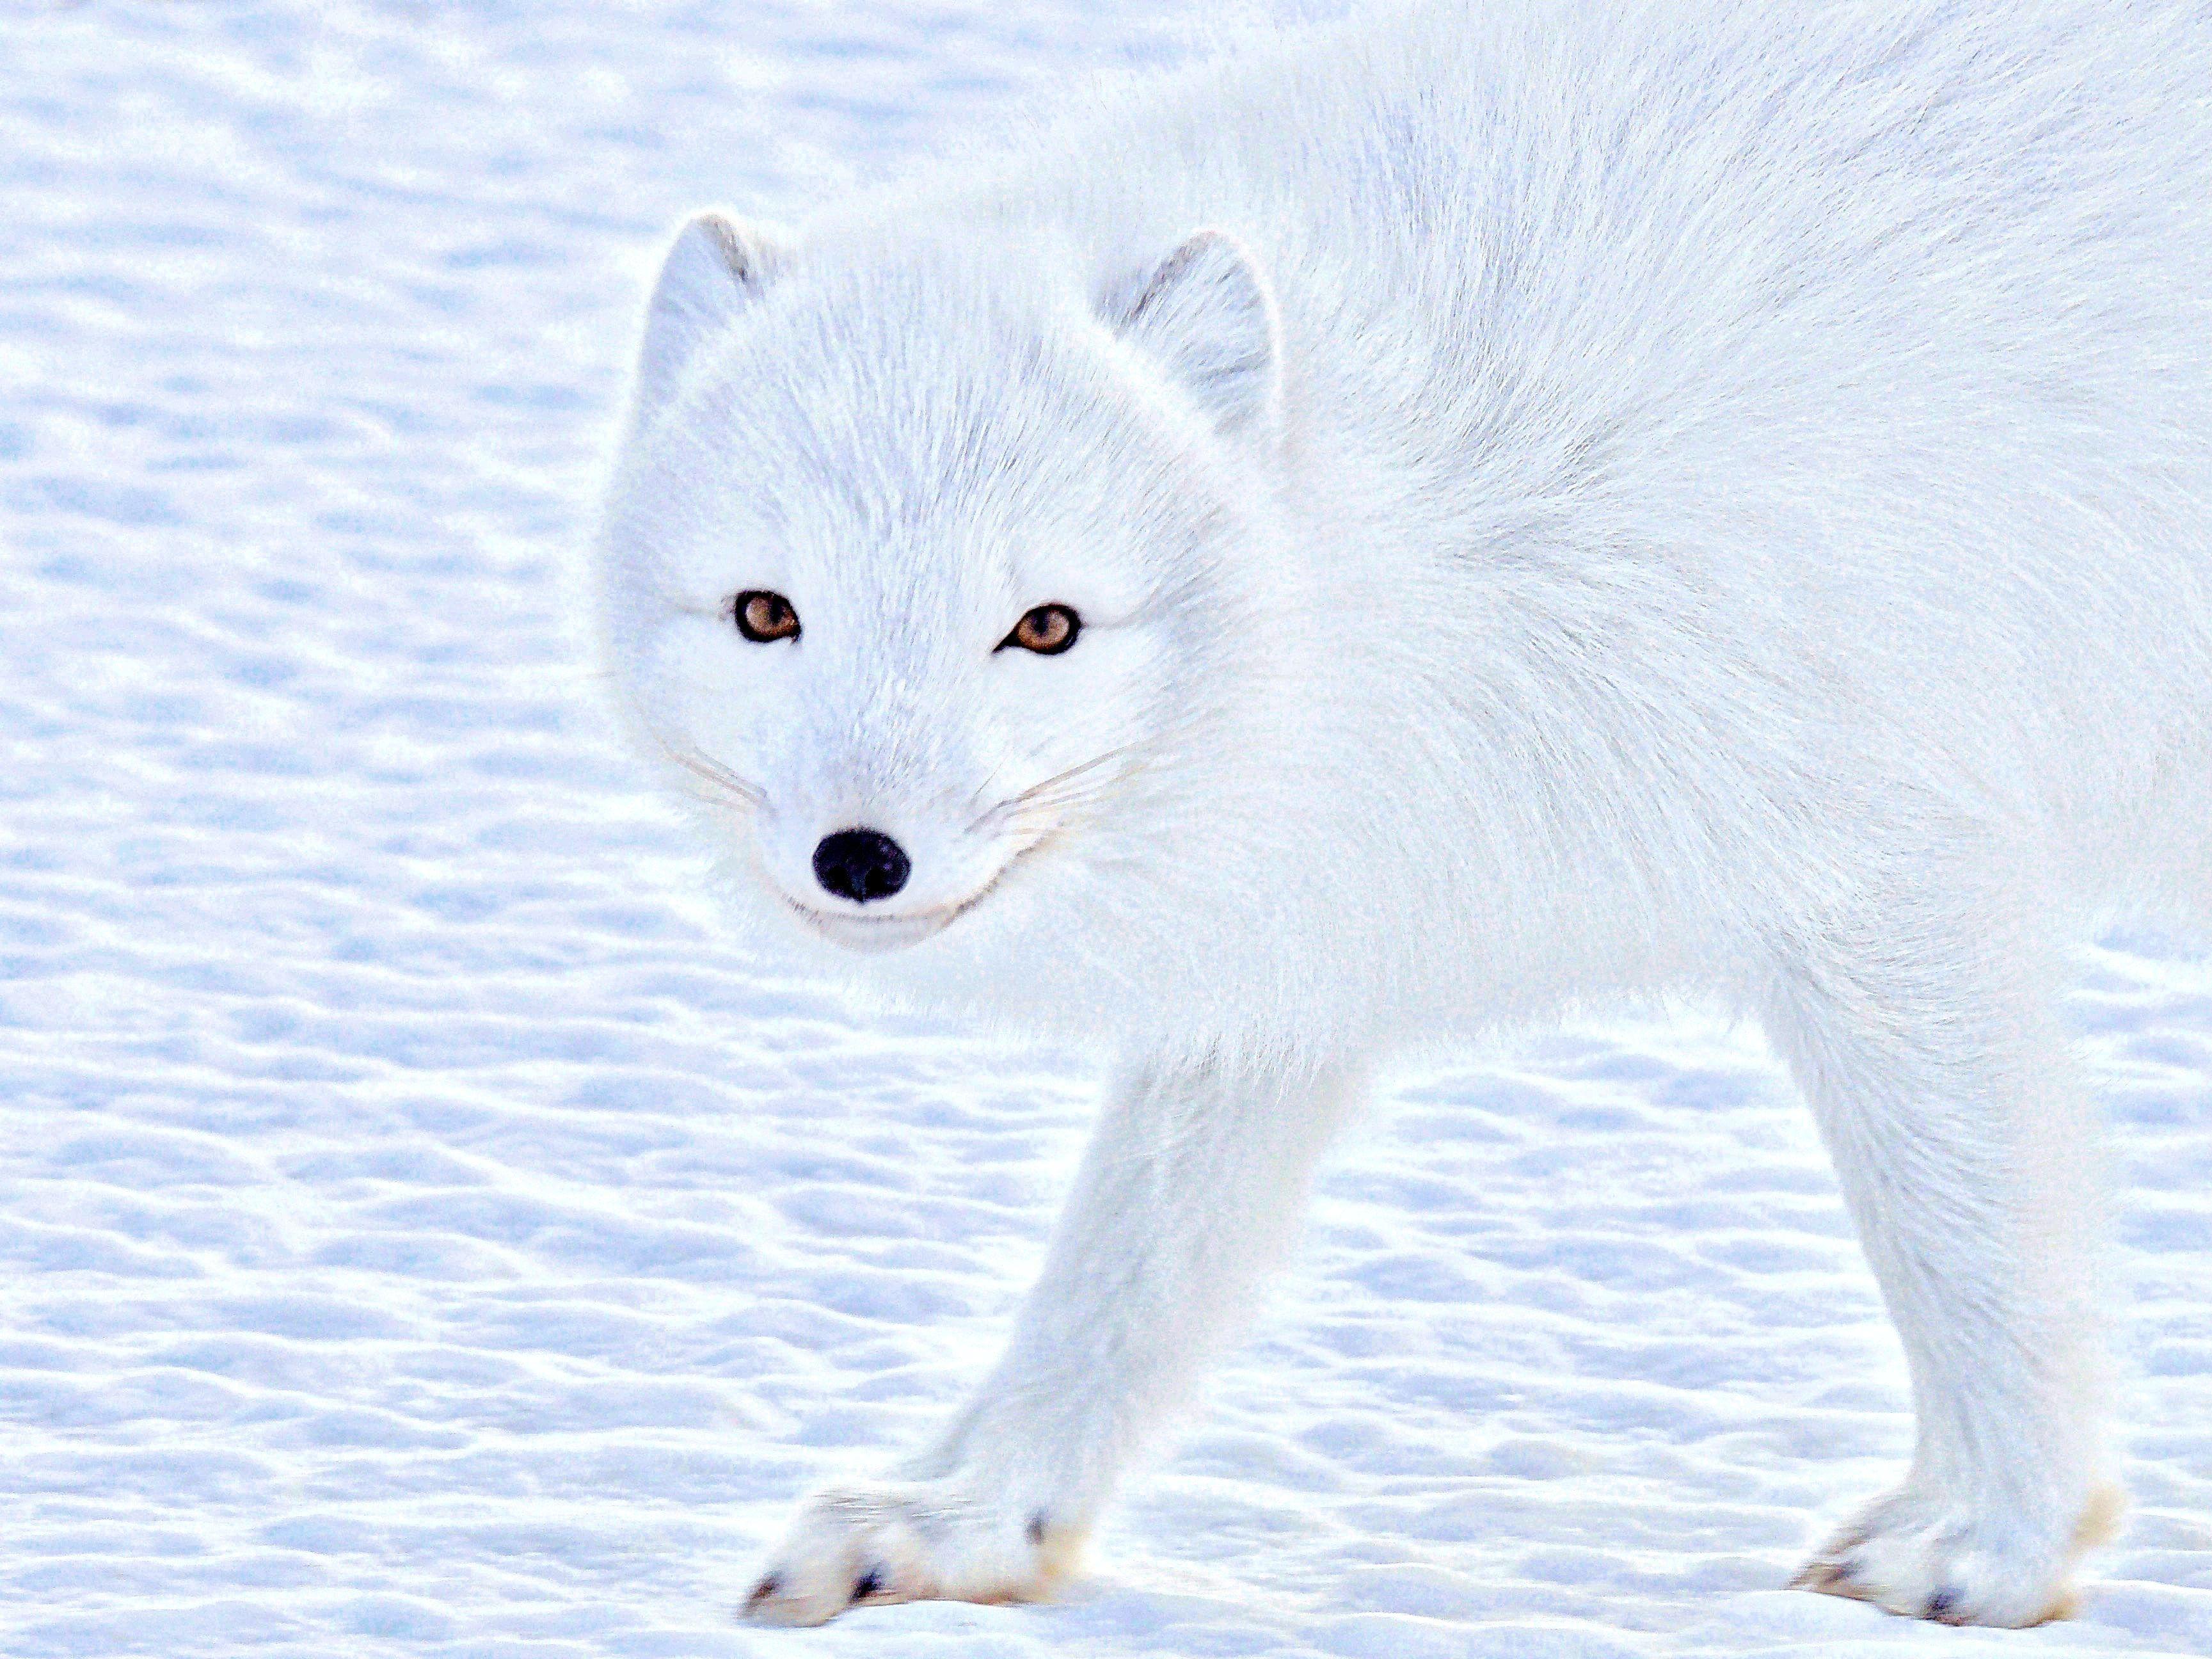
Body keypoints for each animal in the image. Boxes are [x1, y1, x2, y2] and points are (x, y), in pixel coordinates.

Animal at [592, 0, 2212, 1630]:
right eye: (765, 613)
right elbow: (1120, 1275)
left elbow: (1965, 1238)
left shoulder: (1884, 880)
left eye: (1043, 628)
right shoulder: (1297, 954)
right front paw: (966, 1519)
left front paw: (1991, 1545)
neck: (1438, 522)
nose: (859, 858)